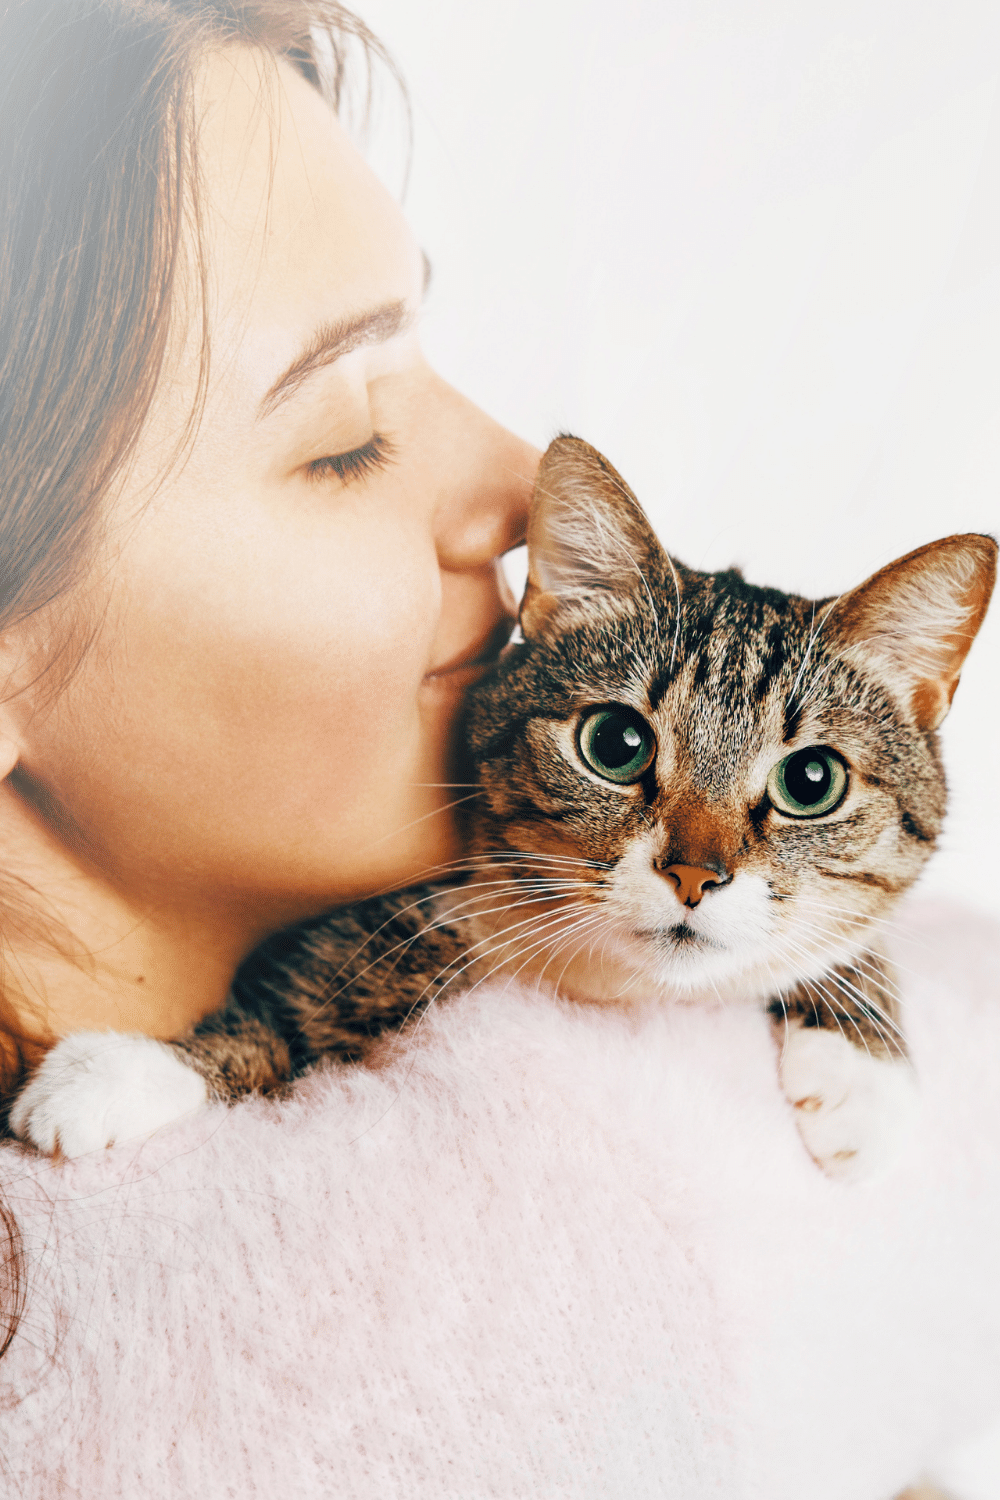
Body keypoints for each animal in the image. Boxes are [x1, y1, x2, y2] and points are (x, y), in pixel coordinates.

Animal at [11, 438, 995, 1176]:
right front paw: (129, 1071)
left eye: (811, 782)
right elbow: (286, 1009)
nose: (693, 874)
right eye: (617, 744)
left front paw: (864, 1071)